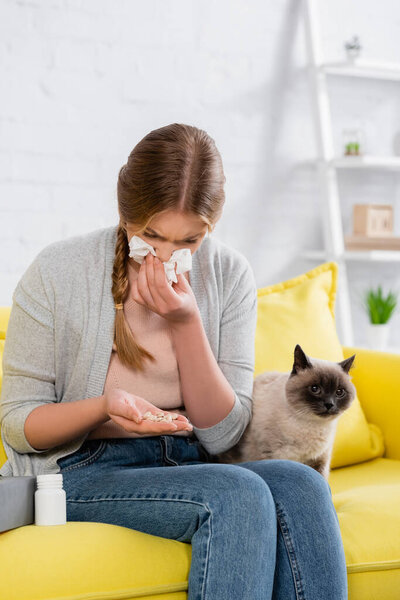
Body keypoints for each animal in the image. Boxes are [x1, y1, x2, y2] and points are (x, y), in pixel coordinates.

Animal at [216, 344, 356, 480]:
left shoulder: (319, 462)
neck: (311, 426)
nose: (329, 404)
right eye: (315, 389)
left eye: (339, 392)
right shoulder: (273, 457)